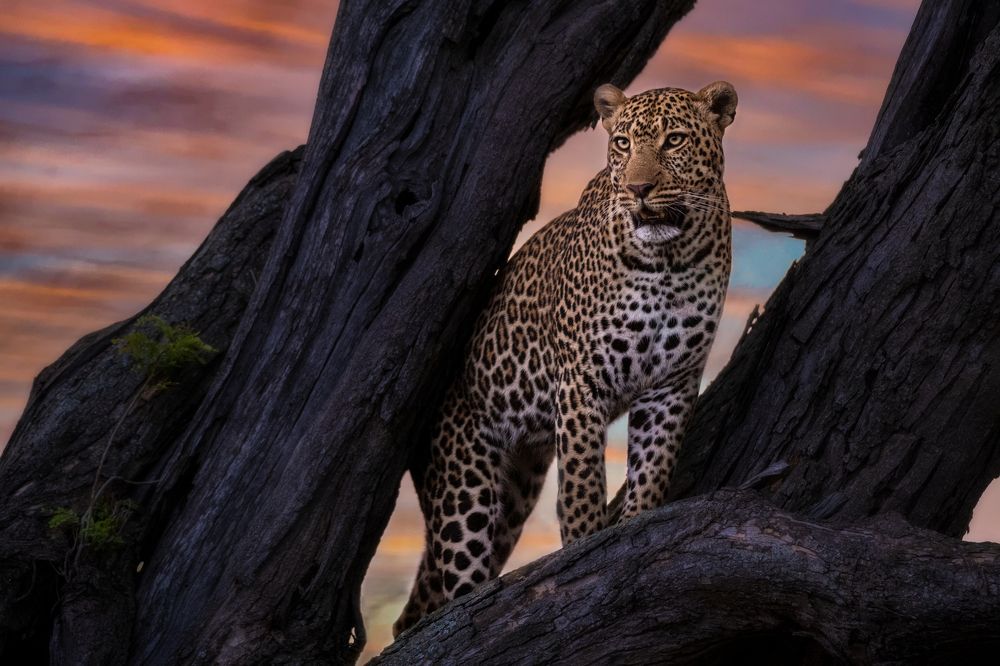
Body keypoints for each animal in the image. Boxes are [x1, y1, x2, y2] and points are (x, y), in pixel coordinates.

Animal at [394, 80, 738, 636]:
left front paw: (634, 530)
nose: (639, 189)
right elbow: (581, 485)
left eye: (674, 140)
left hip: (514, 493)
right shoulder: (581, 379)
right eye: (622, 143)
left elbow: (653, 469)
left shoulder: (673, 383)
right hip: (463, 484)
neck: (668, 262)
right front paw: (583, 554)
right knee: (454, 584)